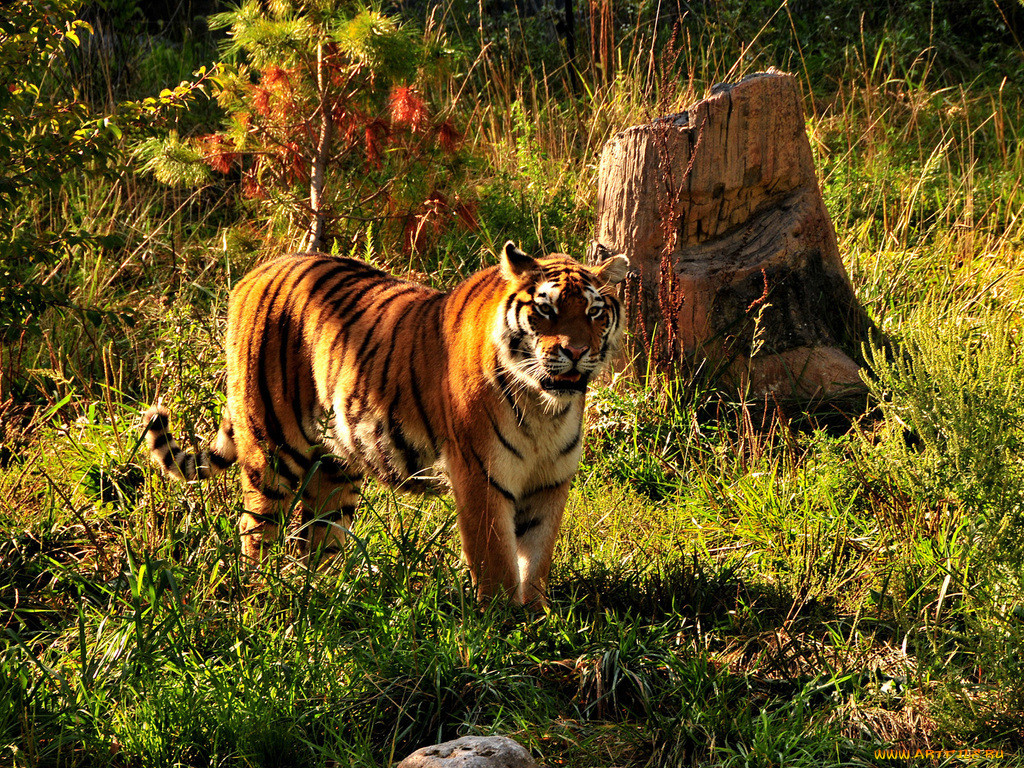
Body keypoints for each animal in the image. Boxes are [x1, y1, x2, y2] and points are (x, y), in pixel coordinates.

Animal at [142, 240, 622, 606]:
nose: (576, 351)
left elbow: (535, 559)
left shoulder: (549, 482)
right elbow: (498, 562)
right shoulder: (481, 478)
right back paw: (263, 596)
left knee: (316, 539)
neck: (545, 407)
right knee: (256, 530)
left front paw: (536, 618)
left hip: (335, 468)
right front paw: (505, 628)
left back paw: (327, 598)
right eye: (546, 310)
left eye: (595, 312)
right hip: (272, 449)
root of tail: (255, 273)